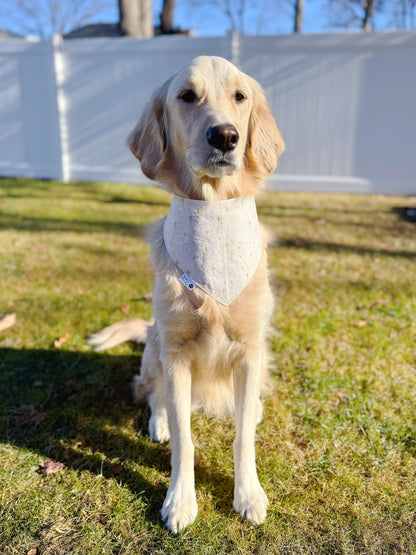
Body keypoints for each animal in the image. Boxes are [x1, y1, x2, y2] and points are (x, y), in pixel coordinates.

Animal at [87, 56, 282, 536]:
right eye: (187, 96)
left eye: (240, 96)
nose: (225, 136)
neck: (212, 213)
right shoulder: (176, 353)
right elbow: (184, 440)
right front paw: (180, 500)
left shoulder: (251, 348)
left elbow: (243, 436)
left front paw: (248, 494)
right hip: (156, 344)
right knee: (152, 394)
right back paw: (158, 422)